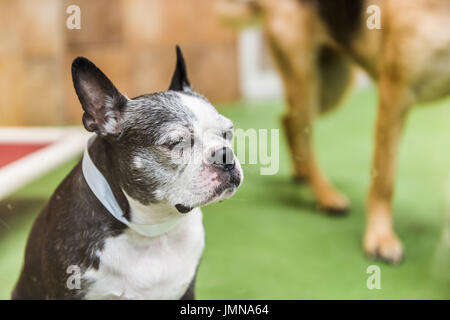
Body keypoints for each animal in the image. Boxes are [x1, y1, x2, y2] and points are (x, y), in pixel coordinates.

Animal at [216, 0, 448, 262]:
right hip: (307, 78)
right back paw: (326, 195)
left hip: (330, 89)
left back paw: (303, 174)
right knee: (299, 129)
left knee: (288, 120)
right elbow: (384, 180)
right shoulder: (395, 95)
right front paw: (380, 237)